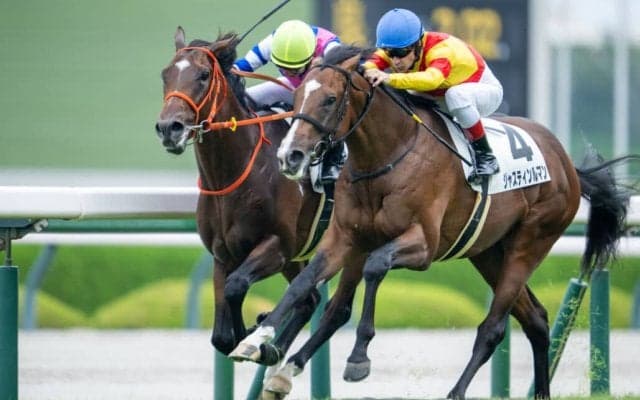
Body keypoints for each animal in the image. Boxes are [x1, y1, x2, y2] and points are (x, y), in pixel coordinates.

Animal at [154, 27, 326, 357]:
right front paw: (248, 334)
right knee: (309, 300)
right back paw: (274, 351)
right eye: (165, 74)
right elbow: (221, 334)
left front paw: (251, 332)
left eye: (204, 75)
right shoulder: (223, 254)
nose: (170, 127)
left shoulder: (278, 245)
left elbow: (236, 286)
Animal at [229, 45, 637, 399]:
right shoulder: (344, 238)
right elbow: (304, 284)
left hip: (530, 243)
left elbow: (376, 267)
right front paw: (254, 341)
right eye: (297, 97)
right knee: (535, 319)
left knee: (493, 328)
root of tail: (567, 165)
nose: (290, 155)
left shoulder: (423, 245)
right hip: (488, 252)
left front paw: (359, 357)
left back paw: (456, 392)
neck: (388, 155)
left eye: (330, 99)